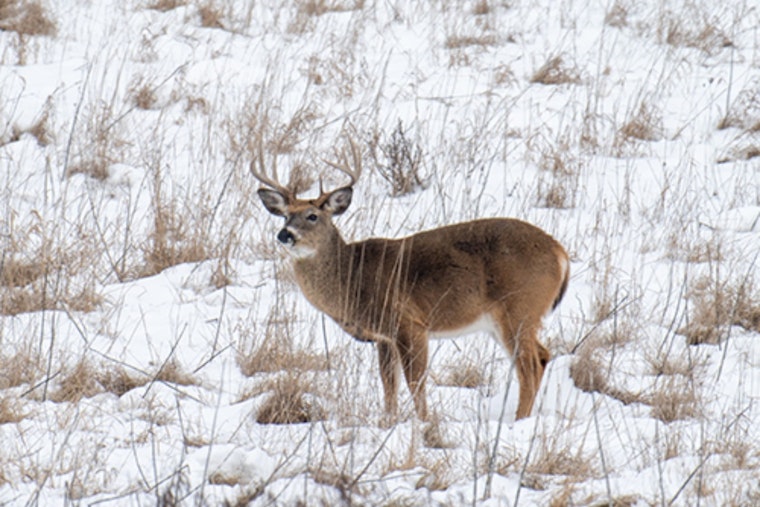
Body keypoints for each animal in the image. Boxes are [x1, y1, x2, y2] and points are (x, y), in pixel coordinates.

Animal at [252, 139, 569, 422]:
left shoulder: (408, 322)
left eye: (312, 216)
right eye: (284, 216)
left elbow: (415, 381)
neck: (352, 278)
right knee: (542, 355)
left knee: (530, 365)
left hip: (518, 308)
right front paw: (389, 421)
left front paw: (424, 423)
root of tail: (559, 252)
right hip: (506, 319)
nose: (285, 235)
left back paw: (518, 421)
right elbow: (388, 383)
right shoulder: (384, 337)